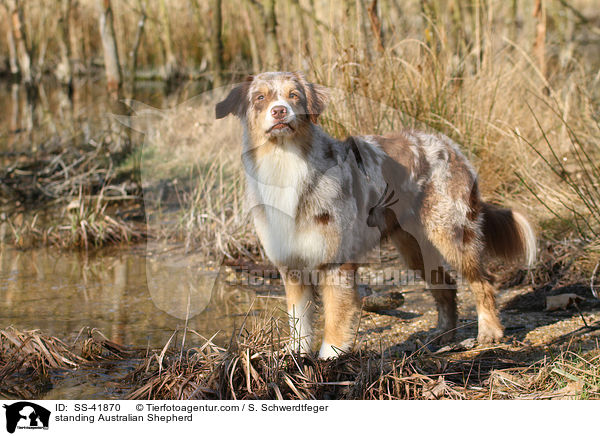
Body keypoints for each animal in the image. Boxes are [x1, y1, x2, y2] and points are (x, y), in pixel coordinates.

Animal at [216, 70, 536, 358]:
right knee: (445, 286)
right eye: (260, 98)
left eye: (294, 95)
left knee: (483, 281)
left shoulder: (336, 262)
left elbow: (336, 315)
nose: (280, 110)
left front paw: (329, 358)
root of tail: (451, 145)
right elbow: (299, 319)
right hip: (414, 249)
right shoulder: (290, 263)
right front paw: (295, 355)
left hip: (451, 233)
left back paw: (489, 332)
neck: (285, 164)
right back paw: (442, 335)